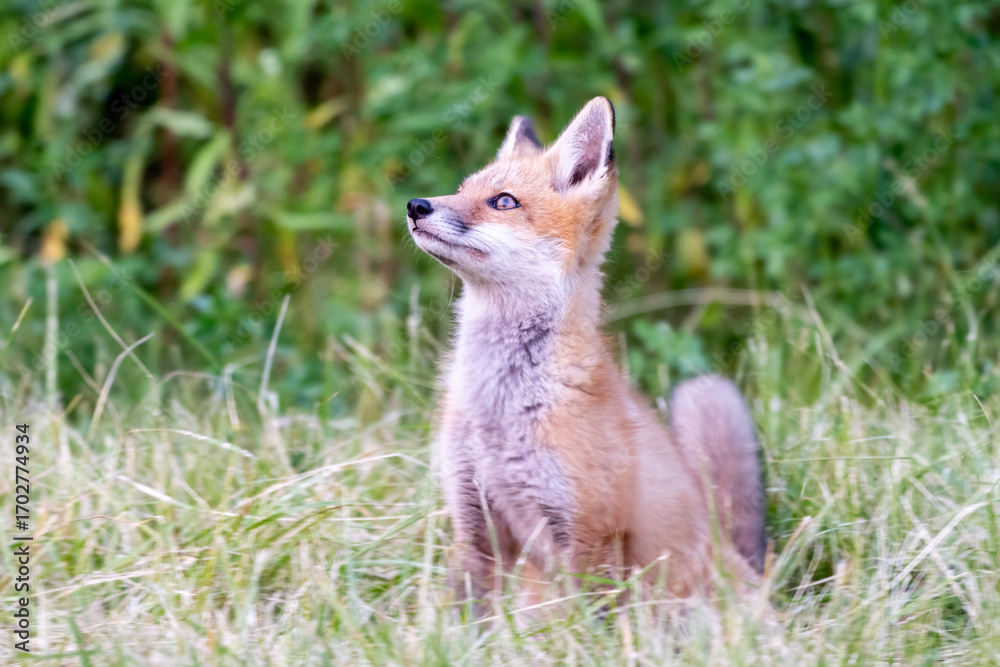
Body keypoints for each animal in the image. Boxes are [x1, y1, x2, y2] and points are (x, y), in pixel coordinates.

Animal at [405, 96, 767, 618]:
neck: (501, 409)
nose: (416, 205)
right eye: (460, 189)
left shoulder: (588, 536)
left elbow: (585, 626)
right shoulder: (476, 526)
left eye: (503, 202)